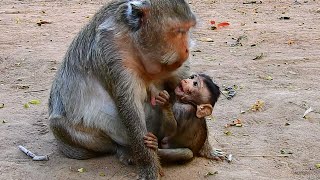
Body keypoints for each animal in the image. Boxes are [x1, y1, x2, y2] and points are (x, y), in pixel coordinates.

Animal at [48, 0, 196, 179]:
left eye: (188, 30)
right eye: (179, 31)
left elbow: (181, 84)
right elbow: (129, 106)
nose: (187, 49)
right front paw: (149, 166)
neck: (135, 45)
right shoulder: (112, 51)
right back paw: (125, 150)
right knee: (59, 124)